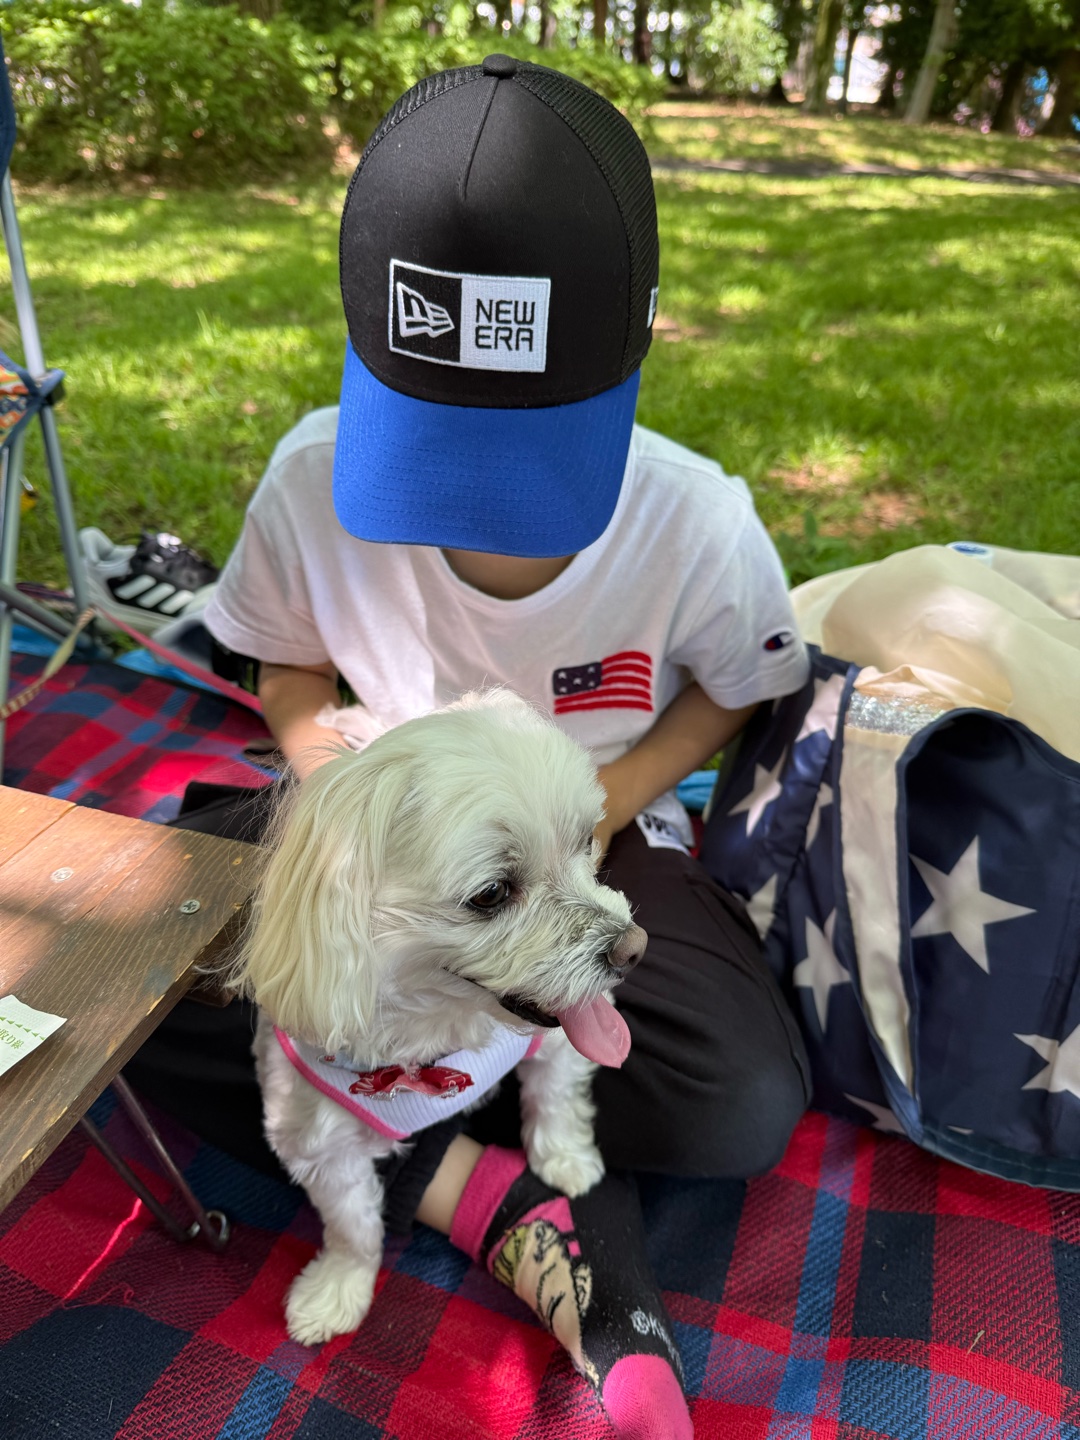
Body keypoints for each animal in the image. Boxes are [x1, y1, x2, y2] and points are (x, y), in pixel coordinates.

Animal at [229, 689, 646, 1346]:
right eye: (492, 894)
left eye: (586, 840)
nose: (634, 948)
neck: (434, 1034)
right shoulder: (318, 1141)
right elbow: (353, 1227)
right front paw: (337, 1293)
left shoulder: (556, 1042)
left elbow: (556, 1100)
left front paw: (567, 1162)